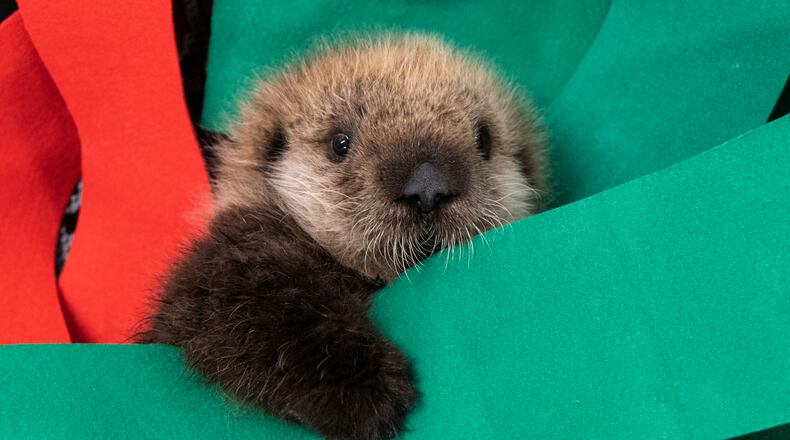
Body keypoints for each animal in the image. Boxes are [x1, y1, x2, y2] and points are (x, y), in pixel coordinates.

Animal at [143, 34, 547, 440]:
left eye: (484, 139)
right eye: (340, 142)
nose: (428, 185)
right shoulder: (236, 254)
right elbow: (255, 303)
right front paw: (363, 390)